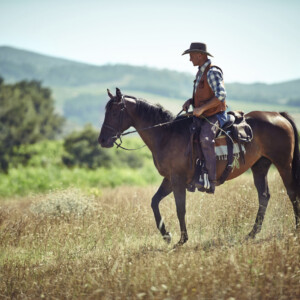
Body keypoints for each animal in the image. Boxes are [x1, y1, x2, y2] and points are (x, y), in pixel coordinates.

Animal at [98, 87, 300, 246]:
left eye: (114, 112)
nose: (102, 140)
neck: (166, 134)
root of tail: (278, 115)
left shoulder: (178, 180)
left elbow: (180, 209)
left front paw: (182, 240)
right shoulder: (170, 179)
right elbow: (154, 202)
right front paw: (167, 236)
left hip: (283, 163)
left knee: (291, 192)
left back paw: (296, 228)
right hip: (260, 166)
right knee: (264, 196)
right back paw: (252, 234)